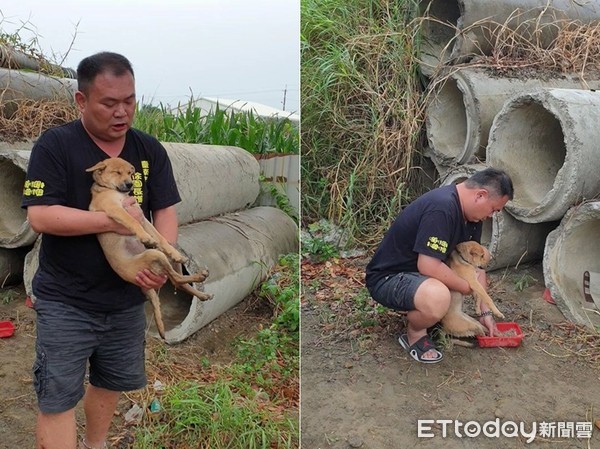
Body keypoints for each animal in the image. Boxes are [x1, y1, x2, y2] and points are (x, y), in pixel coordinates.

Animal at [86, 157, 213, 336]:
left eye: (130, 173)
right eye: (117, 172)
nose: (129, 185)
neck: (111, 190)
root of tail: (138, 283)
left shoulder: (142, 217)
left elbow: (159, 236)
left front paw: (171, 250)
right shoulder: (115, 209)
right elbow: (132, 222)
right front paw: (145, 237)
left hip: (162, 257)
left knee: (178, 281)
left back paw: (200, 292)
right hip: (154, 255)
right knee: (175, 279)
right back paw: (200, 277)